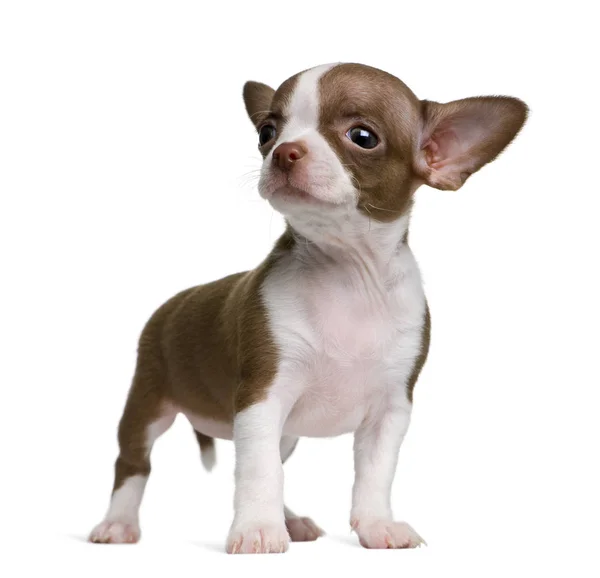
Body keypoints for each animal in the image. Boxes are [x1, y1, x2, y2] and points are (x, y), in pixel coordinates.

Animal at [88, 62, 524, 548]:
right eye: (266, 132)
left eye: (363, 137)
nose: (283, 151)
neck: (348, 273)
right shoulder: (262, 398)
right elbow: (260, 472)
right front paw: (257, 530)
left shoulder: (390, 411)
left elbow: (374, 473)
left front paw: (377, 524)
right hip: (147, 401)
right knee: (133, 463)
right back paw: (118, 523)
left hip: (284, 433)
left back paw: (291, 520)